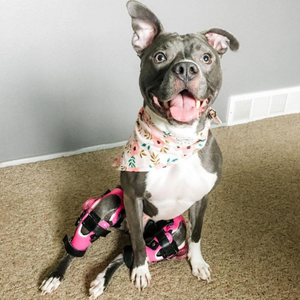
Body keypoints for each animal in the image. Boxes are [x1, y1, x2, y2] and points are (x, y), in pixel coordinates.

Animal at [39, 0, 238, 298]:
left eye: (206, 58)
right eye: (160, 57)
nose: (186, 69)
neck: (177, 140)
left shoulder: (202, 198)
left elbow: (196, 234)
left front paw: (197, 262)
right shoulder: (133, 199)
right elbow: (138, 247)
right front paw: (141, 271)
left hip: (171, 230)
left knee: (126, 251)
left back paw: (101, 279)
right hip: (110, 204)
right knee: (93, 243)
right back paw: (58, 275)